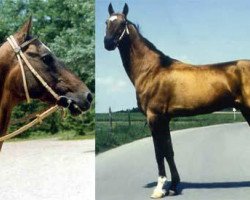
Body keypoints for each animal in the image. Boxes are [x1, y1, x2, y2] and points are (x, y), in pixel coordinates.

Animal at [104, 3, 250, 198]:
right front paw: (173, 185)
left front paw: (159, 189)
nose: (108, 43)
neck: (151, 70)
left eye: (122, 23)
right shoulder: (165, 119)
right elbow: (169, 151)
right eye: (106, 22)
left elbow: (159, 152)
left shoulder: (154, 117)